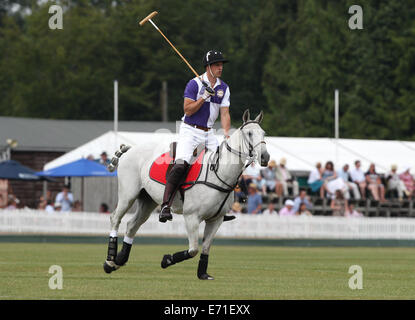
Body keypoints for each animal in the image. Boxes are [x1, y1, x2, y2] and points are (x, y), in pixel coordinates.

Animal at [105, 110, 270, 280]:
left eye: (263, 133)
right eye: (249, 133)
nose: (265, 157)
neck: (219, 173)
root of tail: (131, 149)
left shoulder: (216, 219)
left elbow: (205, 248)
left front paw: (203, 274)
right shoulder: (191, 216)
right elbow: (193, 250)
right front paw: (167, 260)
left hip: (148, 200)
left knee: (132, 225)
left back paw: (119, 259)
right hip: (128, 194)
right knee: (115, 218)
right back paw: (110, 260)